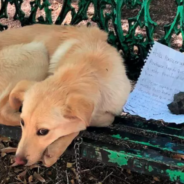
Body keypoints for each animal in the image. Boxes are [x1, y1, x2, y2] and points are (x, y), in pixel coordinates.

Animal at [0, 24, 132, 167]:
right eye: (22, 122)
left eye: (43, 131)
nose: (18, 160)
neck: (89, 70)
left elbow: (97, 120)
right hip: (38, 53)